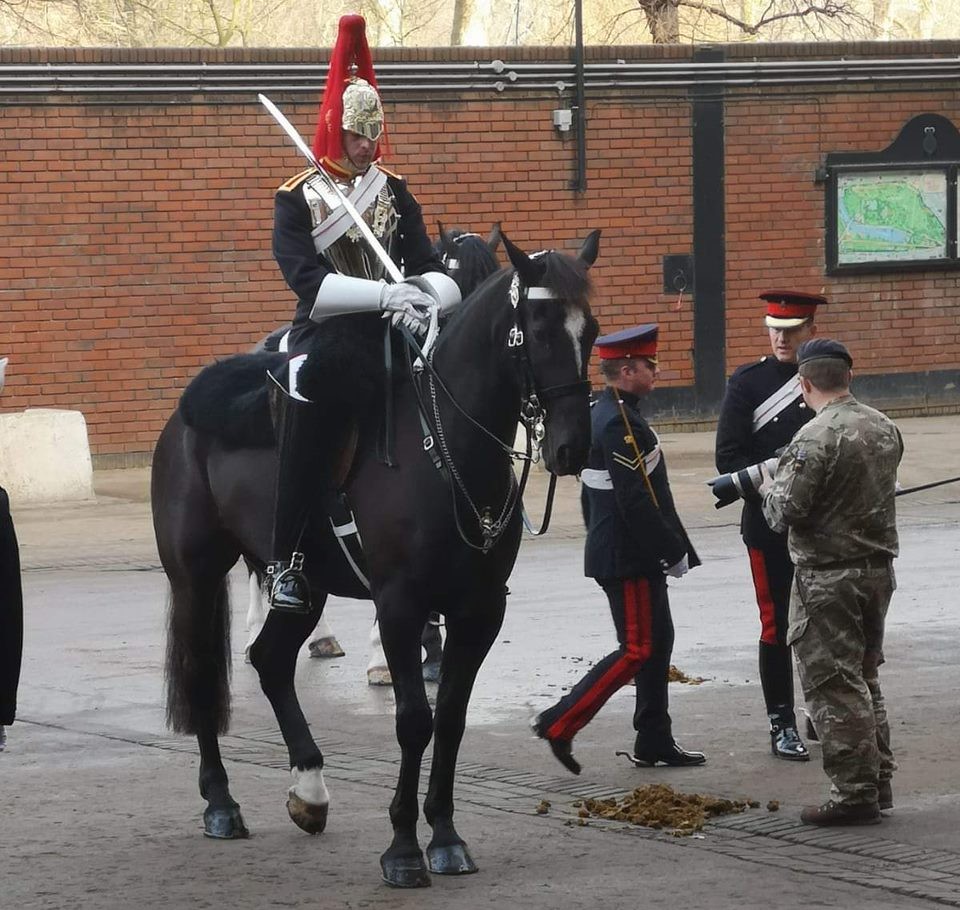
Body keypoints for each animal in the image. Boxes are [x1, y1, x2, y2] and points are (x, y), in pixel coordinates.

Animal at [152, 229, 600, 887]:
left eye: (590, 330)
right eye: (539, 329)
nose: (572, 447)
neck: (446, 446)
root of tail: (184, 414)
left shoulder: (479, 610)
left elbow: (452, 718)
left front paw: (446, 836)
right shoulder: (400, 604)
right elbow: (414, 720)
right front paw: (404, 849)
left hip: (308, 584)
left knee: (270, 660)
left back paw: (310, 791)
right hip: (197, 575)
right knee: (205, 671)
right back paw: (221, 803)